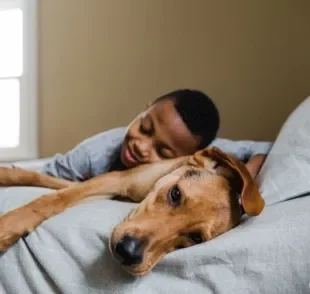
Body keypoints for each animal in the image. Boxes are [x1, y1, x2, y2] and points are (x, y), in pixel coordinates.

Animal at [0, 148, 264, 276]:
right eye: (175, 194)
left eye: (196, 238)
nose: (128, 253)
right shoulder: (115, 180)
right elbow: (52, 193)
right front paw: (9, 221)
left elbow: (59, 190)